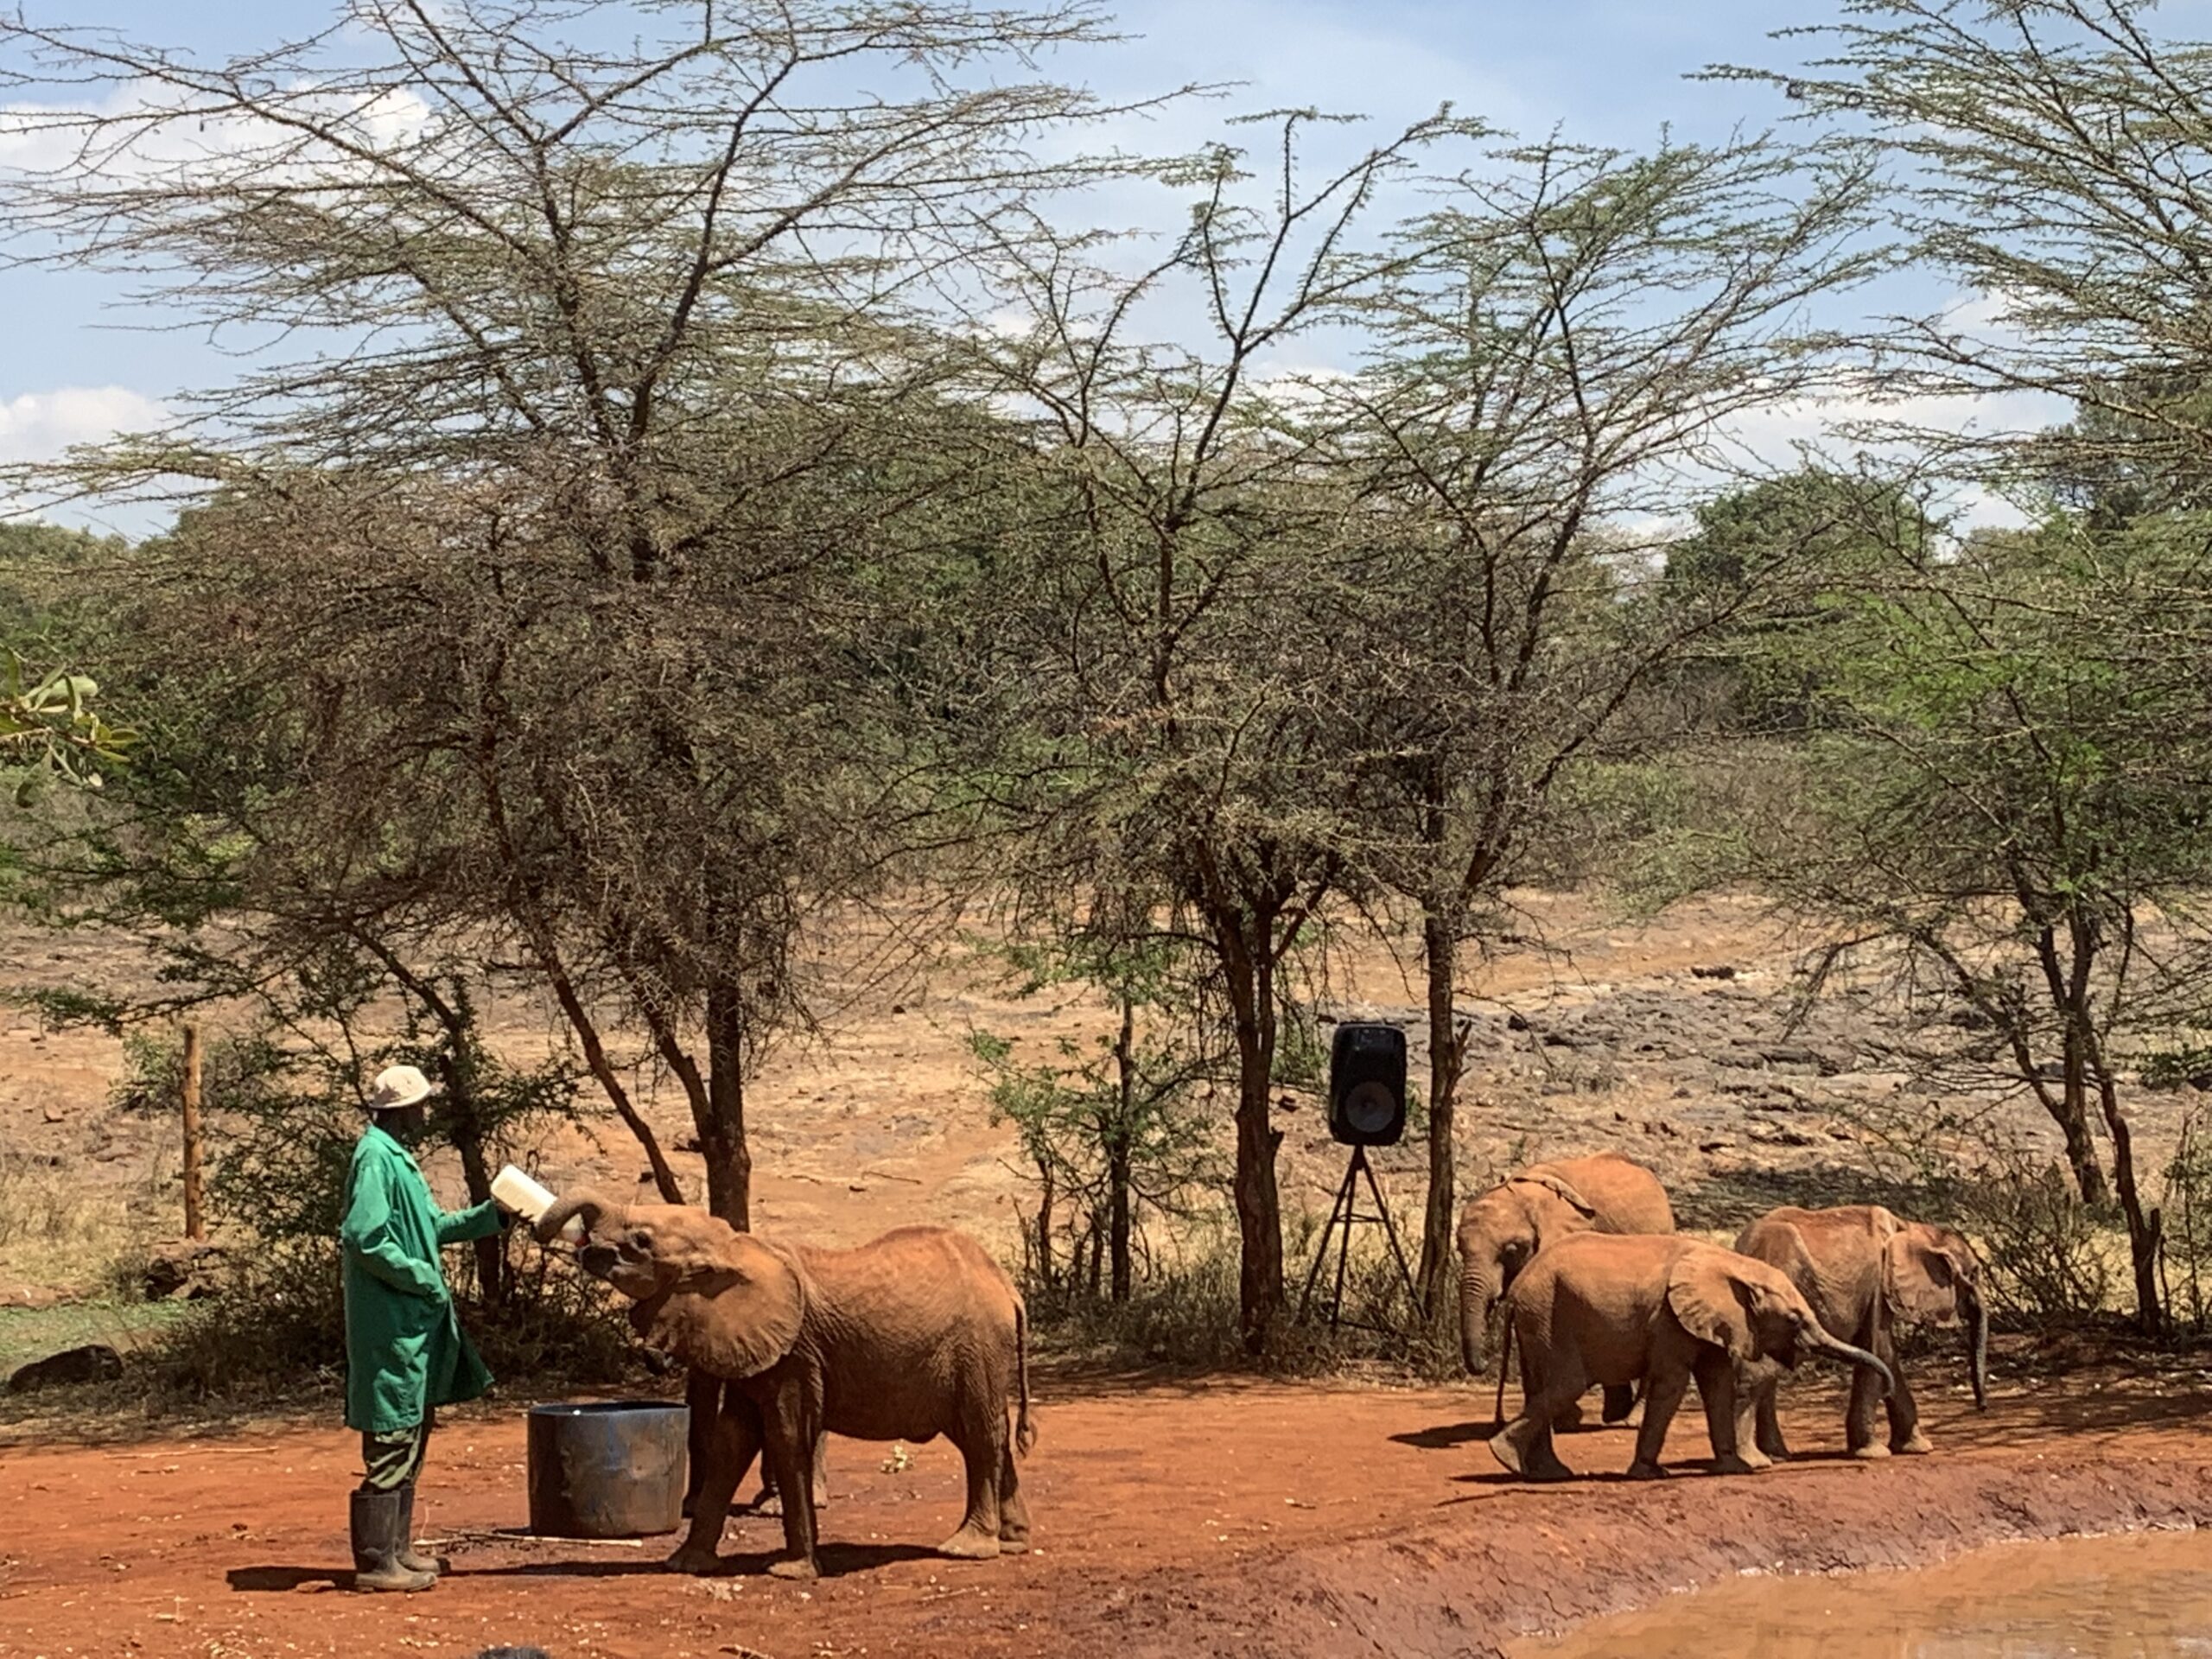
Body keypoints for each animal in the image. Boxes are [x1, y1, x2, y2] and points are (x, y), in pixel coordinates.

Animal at [536, 1191, 1032, 1580]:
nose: (563, 1240)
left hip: (978, 1347)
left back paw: (968, 1548)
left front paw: (791, 1572)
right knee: (988, 1435)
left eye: (641, 1241)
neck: (732, 1246)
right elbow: (733, 1442)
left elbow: (787, 1435)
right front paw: (685, 1565)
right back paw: (1014, 1542)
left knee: (980, 1435)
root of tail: (1008, 1287)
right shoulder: (749, 1345)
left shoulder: (795, 1354)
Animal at [1458, 1152, 1675, 1424]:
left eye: (1510, 1251)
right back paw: (1613, 1415)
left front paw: (1565, 1419)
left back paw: (1629, 1420)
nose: (1486, 1362)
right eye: (1459, 1249)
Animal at [1489, 1232, 1893, 1482]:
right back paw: (1505, 1456)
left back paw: (1543, 1471)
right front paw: (1651, 1474)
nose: (1888, 1388)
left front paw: (1733, 1469)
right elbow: (1673, 1383)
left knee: (1542, 1386)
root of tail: (1517, 1289)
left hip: (1539, 1319)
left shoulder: (1713, 1321)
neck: (1735, 1266)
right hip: (1549, 1315)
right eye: (1794, 1319)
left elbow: (1717, 1382)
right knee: (1567, 1384)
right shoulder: (1670, 1319)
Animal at [1733, 1204, 1987, 1460]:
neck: (1910, 1228)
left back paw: (1777, 1456)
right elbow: (1878, 1350)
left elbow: (1887, 1358)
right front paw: (1873, 1453)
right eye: (1974, 1273)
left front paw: (1916, 1447)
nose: (1982, 1407)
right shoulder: (1877, 1284)